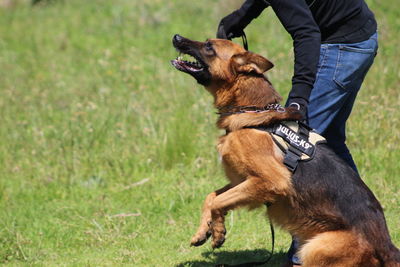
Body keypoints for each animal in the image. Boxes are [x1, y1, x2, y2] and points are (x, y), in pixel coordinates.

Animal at [170, 34, 398, 266]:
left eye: (209, 46)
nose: (177, 37)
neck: (252, 112)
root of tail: (387, 248)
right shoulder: (242, 181)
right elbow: (211, 197)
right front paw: (203, 231)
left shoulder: (270, 181)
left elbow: (218, 201)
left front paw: (217, 232)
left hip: (314, 247)